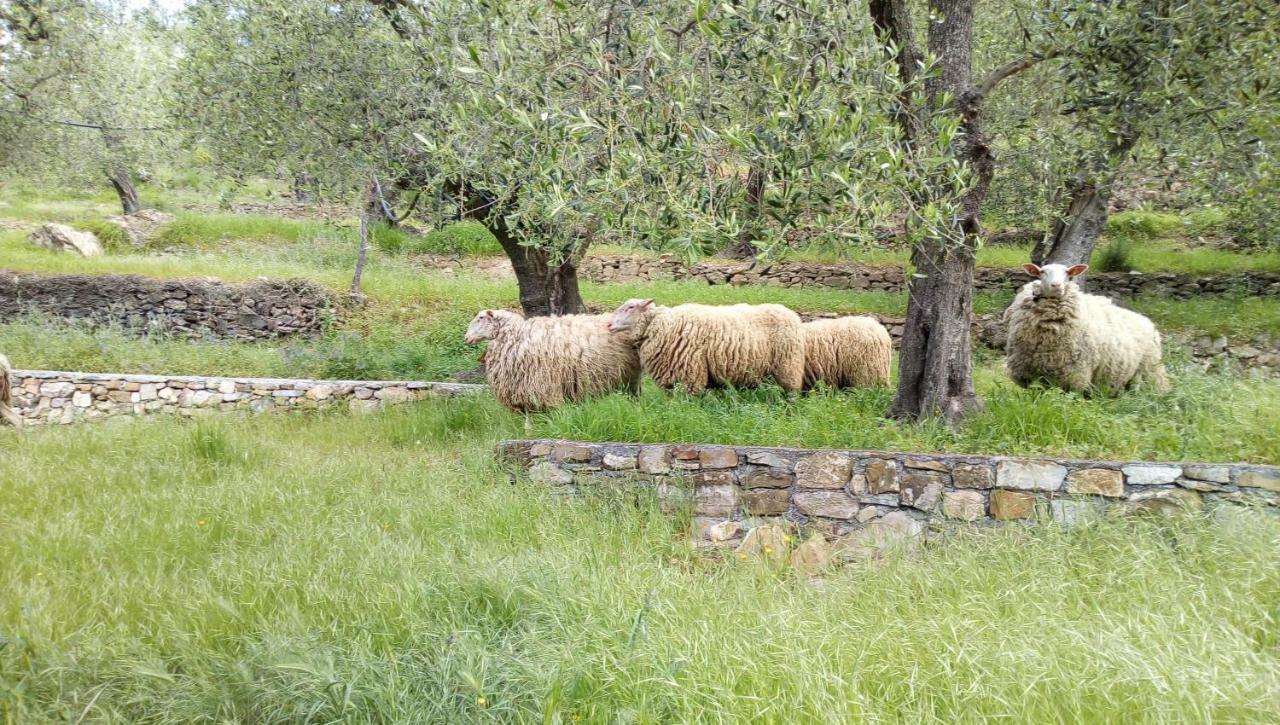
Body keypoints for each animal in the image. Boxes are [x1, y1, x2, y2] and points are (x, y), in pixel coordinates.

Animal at [460, 309, 640, 422]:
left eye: (481, 318)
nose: (466, 338)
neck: (516, 335)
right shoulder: (525, 390)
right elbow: (528, 419)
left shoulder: (542, 386)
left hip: (630, 375)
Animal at [606, 298, 803, 394]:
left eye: (630, 307)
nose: (608, 324)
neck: (660, 324)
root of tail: (792, 314)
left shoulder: (689, 374)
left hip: (788, 367)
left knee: (791, 393)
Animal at [998, 263, 1172, 394]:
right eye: (1042, 272)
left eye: (1067, 273)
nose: (1056, 285)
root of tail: (1147, 321)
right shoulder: (1030, 374)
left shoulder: (1074, 374)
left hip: (1150, 371)